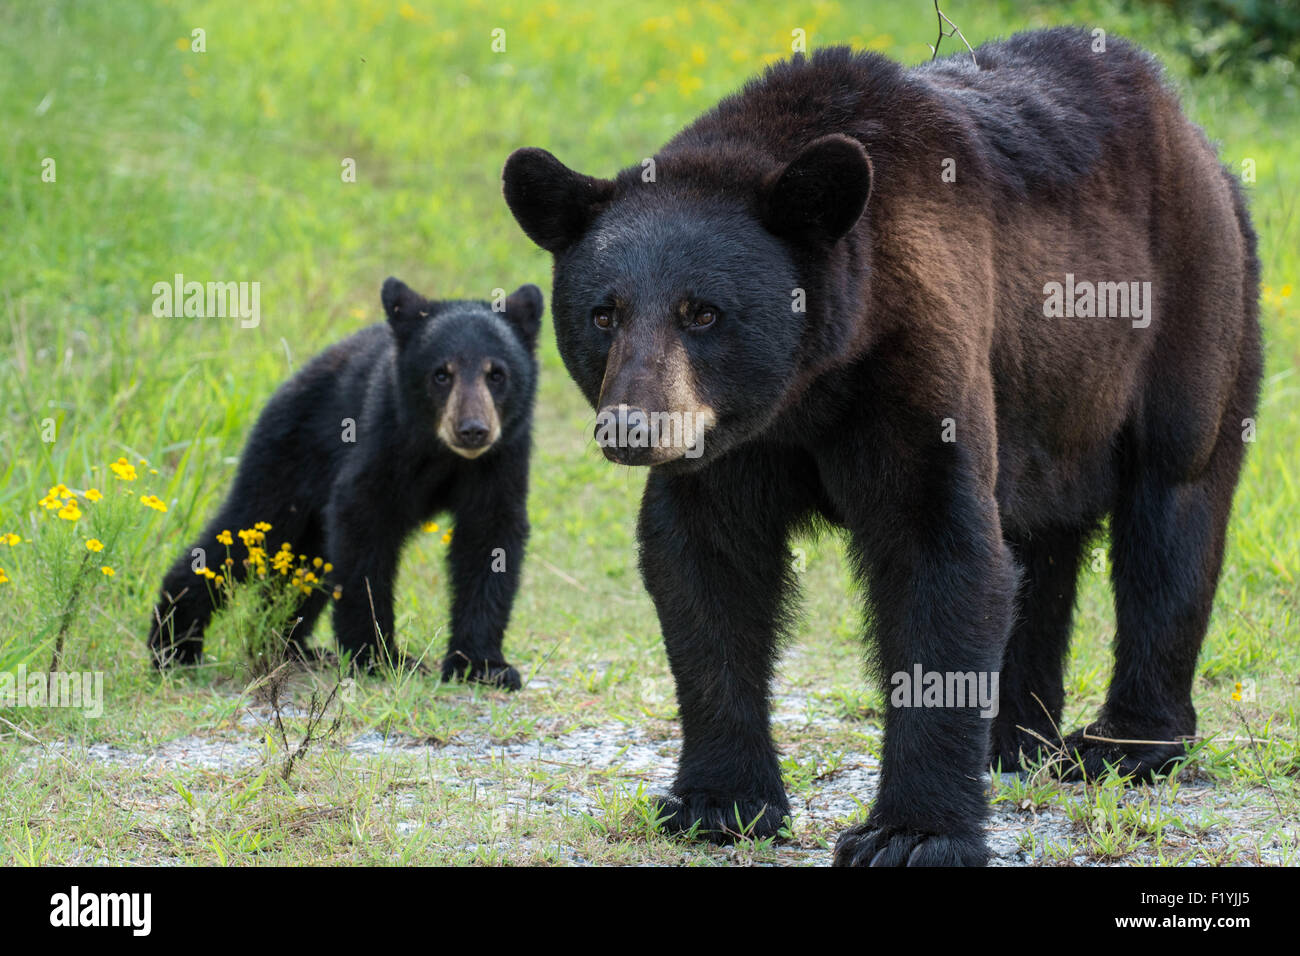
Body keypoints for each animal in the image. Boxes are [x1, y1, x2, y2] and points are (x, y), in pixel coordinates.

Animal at [148, 277, 543, 686]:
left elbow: (489, 539)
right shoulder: (382, 441)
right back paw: (174, 643)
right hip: (287, 458)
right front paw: (377, 655)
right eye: (441, 373)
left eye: (496, 374)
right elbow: (362, 527)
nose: (472, 430)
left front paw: (483, 665)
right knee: (242, 533)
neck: (441, 454)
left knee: (303, 566)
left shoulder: (503, 460)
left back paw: (289, 645)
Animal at [499, 29, 1258, 868]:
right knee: (1043, 546)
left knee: (1171, 514)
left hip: (1187, 316)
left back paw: (1126, 744)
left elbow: (941, 553)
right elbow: (707, 565)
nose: (634, 426)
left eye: (703, 312)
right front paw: (718, 800)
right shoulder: (733, 449)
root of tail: (1200, 143)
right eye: (604, 313)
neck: (809, 386)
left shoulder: (918, 356)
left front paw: (911, 833)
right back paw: (1014, 738)